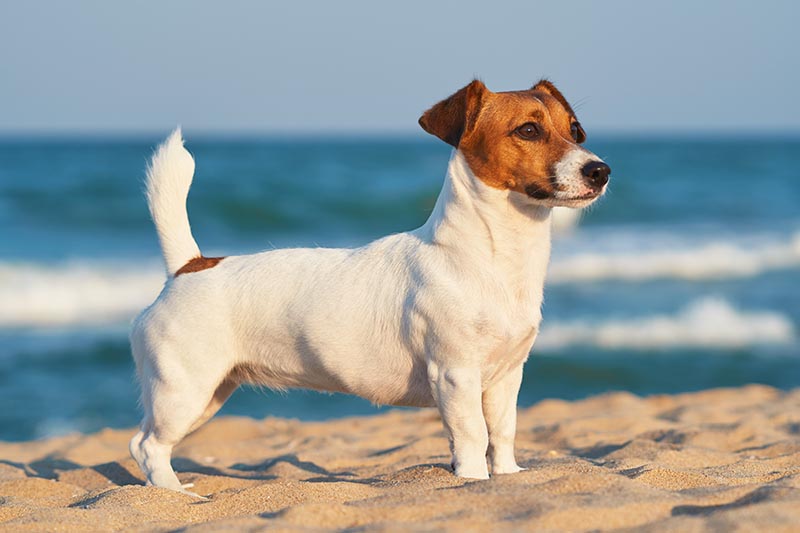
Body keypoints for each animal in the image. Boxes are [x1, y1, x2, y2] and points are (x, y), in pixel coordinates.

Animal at [128, 79, 608, 494]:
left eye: (575, 130)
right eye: (528, 130)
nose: (600, 171)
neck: (492, 258)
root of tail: (188, 267)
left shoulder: (508, 376)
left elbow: (503, 433)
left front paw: (507, 477)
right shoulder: (455, 375)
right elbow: (473, 437)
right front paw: (474, 482)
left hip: (209, 395)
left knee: (146, 443)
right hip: (184, 392)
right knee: (147, 445)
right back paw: (175, 494)